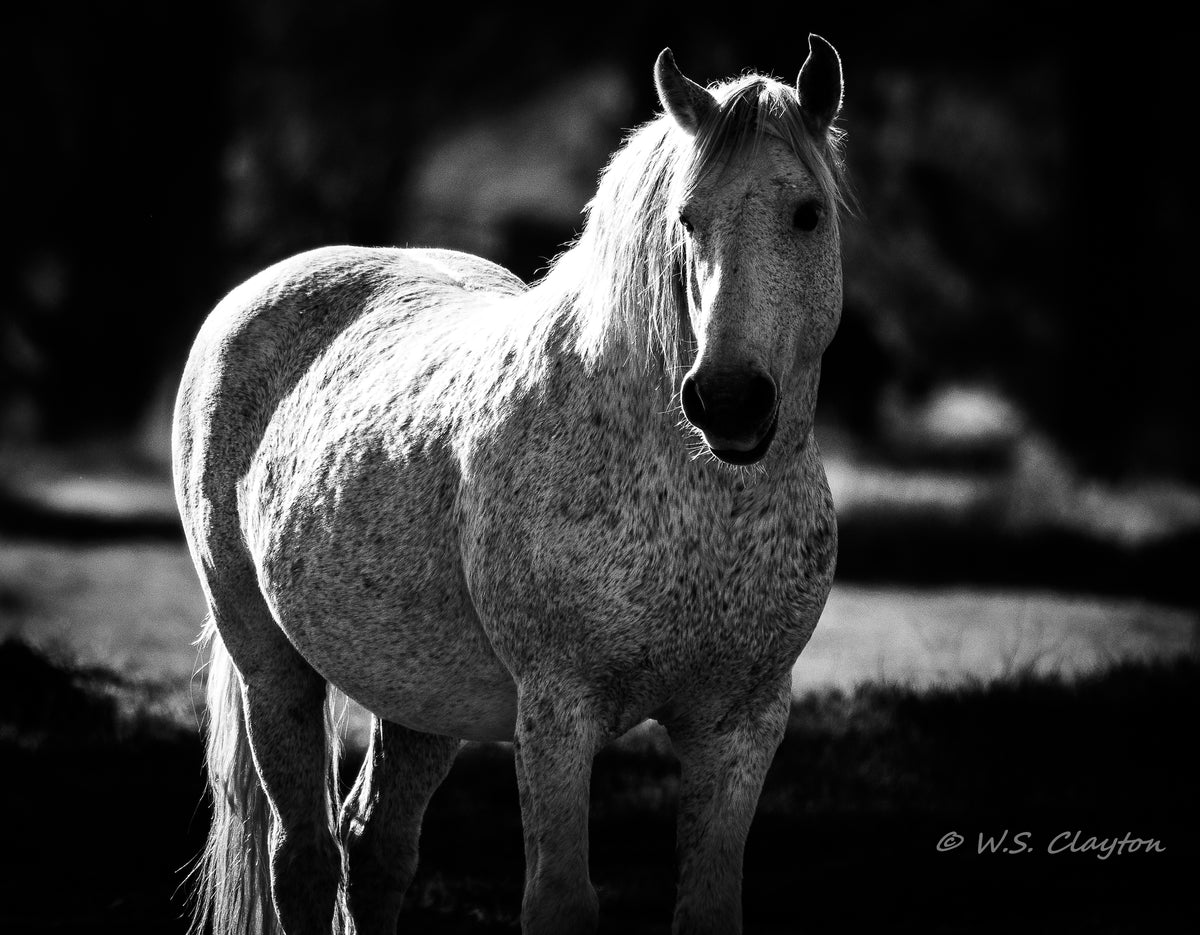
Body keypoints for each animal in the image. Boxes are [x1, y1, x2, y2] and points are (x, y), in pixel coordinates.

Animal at [173, 33, 848, 935]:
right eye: (686, 219)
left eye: (807, 212)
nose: (729, 399)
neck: (698, 501)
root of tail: (246, 300)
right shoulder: (558, 714)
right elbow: (559, 900)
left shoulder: (742, 725)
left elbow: (708, 903)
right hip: (270, 664)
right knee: (303, 857)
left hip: (420, 696)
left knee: (373, 848)